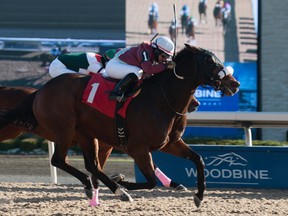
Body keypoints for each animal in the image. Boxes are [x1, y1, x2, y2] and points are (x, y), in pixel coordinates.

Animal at [0, 44, 240, 208]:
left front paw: (198, 196)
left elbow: (198, 160)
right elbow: (150, 180)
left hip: (85, 134)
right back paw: (112, 189)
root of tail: (41, 90)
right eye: (209, 61)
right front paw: (125, 184)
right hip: (64, 130)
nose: (234, 83)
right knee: (59, 160)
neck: (162, 98)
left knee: (91, 165)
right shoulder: (137, 148)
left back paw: (103, 188)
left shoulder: (169, 143)